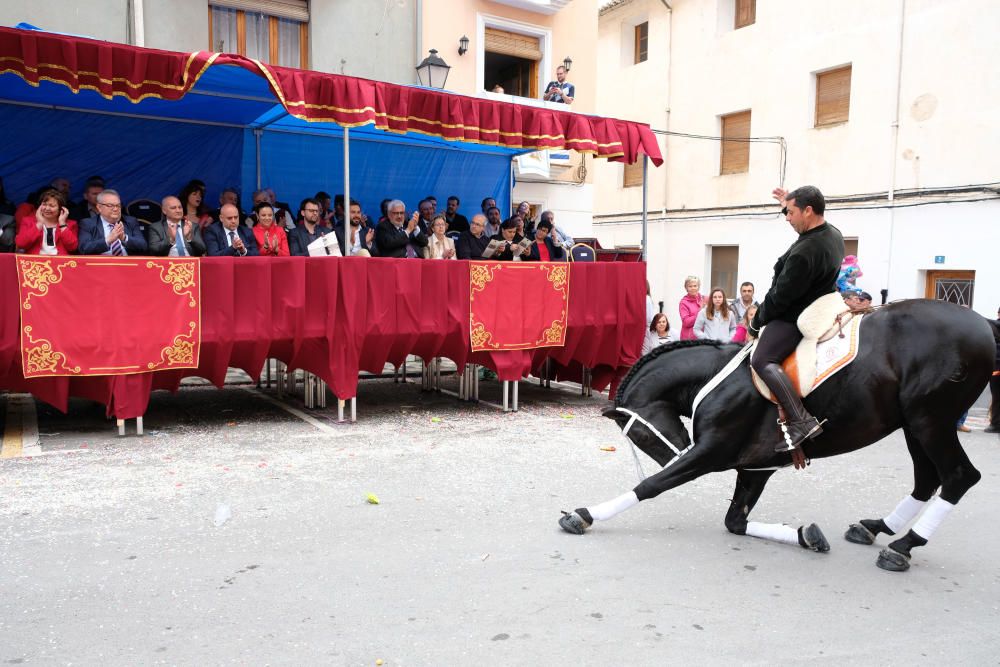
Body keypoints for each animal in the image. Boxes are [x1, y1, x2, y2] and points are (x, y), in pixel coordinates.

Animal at [560, 300, 996, 572]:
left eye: (641, 437)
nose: (676, 452)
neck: (719, 378)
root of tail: (982, 324)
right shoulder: (755, 467)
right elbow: (735, 522)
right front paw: (806, 535)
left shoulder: (712, 452)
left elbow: (652, 485)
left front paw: (585, 514)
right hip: (913, 425)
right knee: (927, 479)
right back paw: (876, 528)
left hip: (930, 420)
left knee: (958, 476)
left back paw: (903, 546)